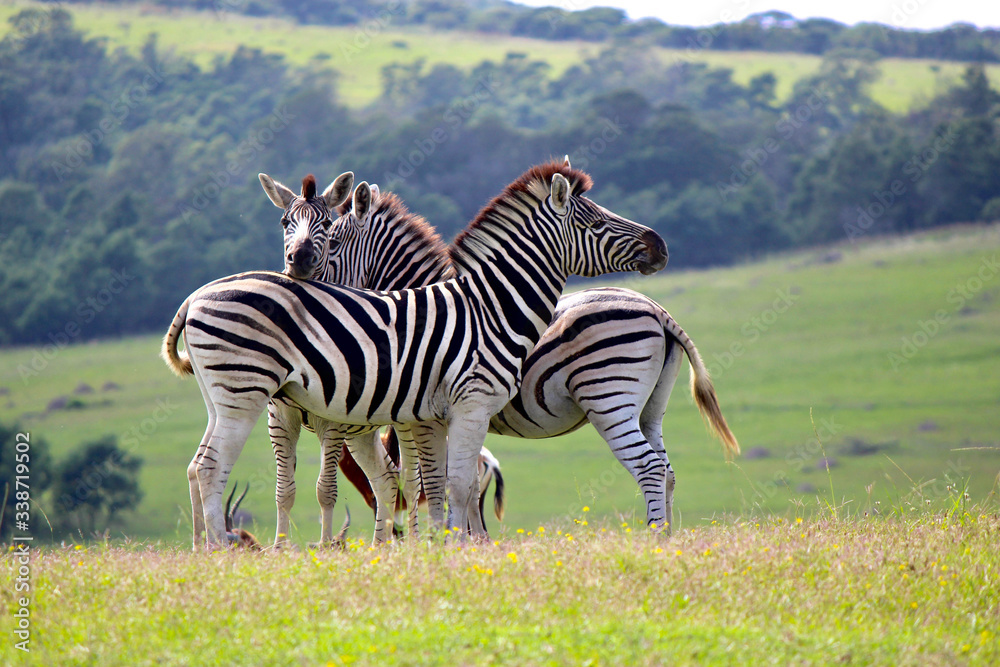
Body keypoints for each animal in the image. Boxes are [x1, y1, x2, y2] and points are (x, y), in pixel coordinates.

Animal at [321, 167, 738, 533]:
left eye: (331, 242)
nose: (660, 248)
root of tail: (658, 311)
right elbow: (459, 487)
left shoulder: (427, 414)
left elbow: (433, 483)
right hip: (651, 407)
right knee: (666, 471)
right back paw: (667, 539)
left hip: (609, 397)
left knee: (649, 468)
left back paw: (653, 538)